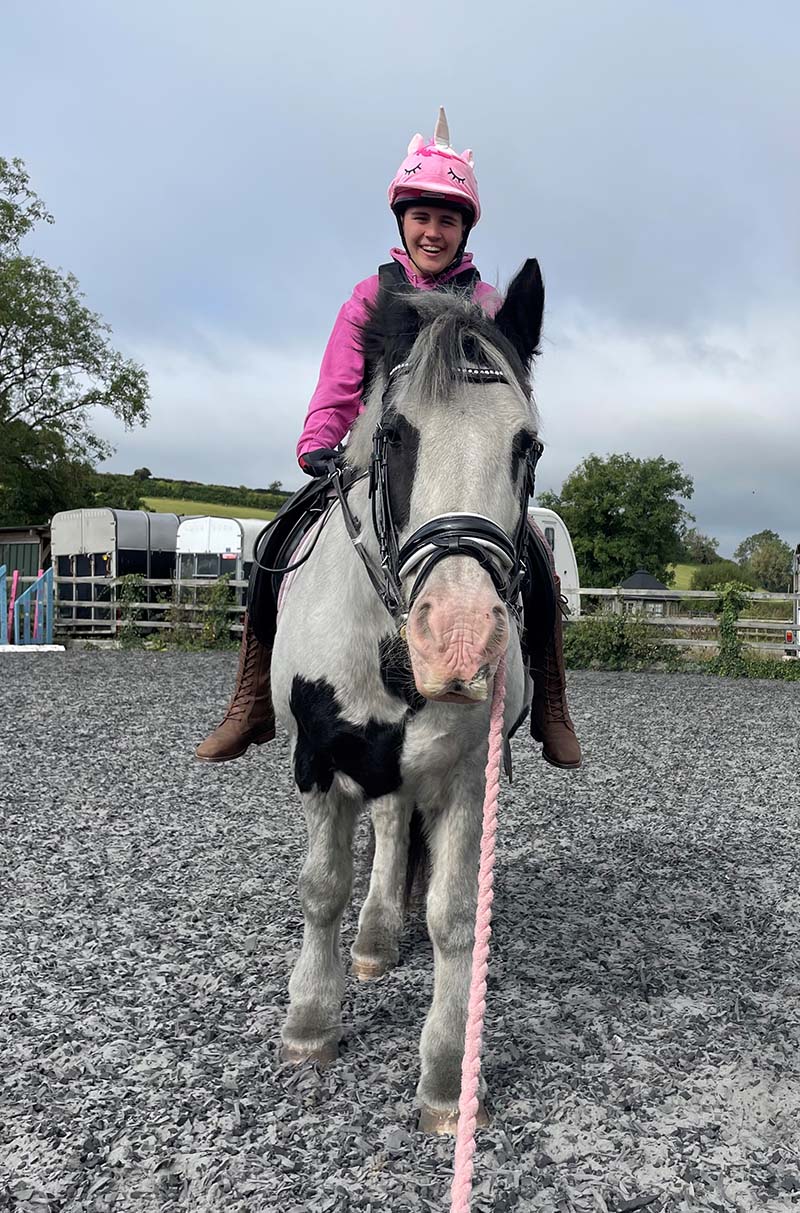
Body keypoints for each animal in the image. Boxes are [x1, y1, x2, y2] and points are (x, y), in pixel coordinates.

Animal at [273, 260, 543, 1130]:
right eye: (394, 435)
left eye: (526, 444)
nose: (456, 641)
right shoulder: (320, 758)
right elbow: (321, 888)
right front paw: (310, 1023)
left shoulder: (465, 775)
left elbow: (457, 918)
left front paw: (449, 1075)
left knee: (395, 829)